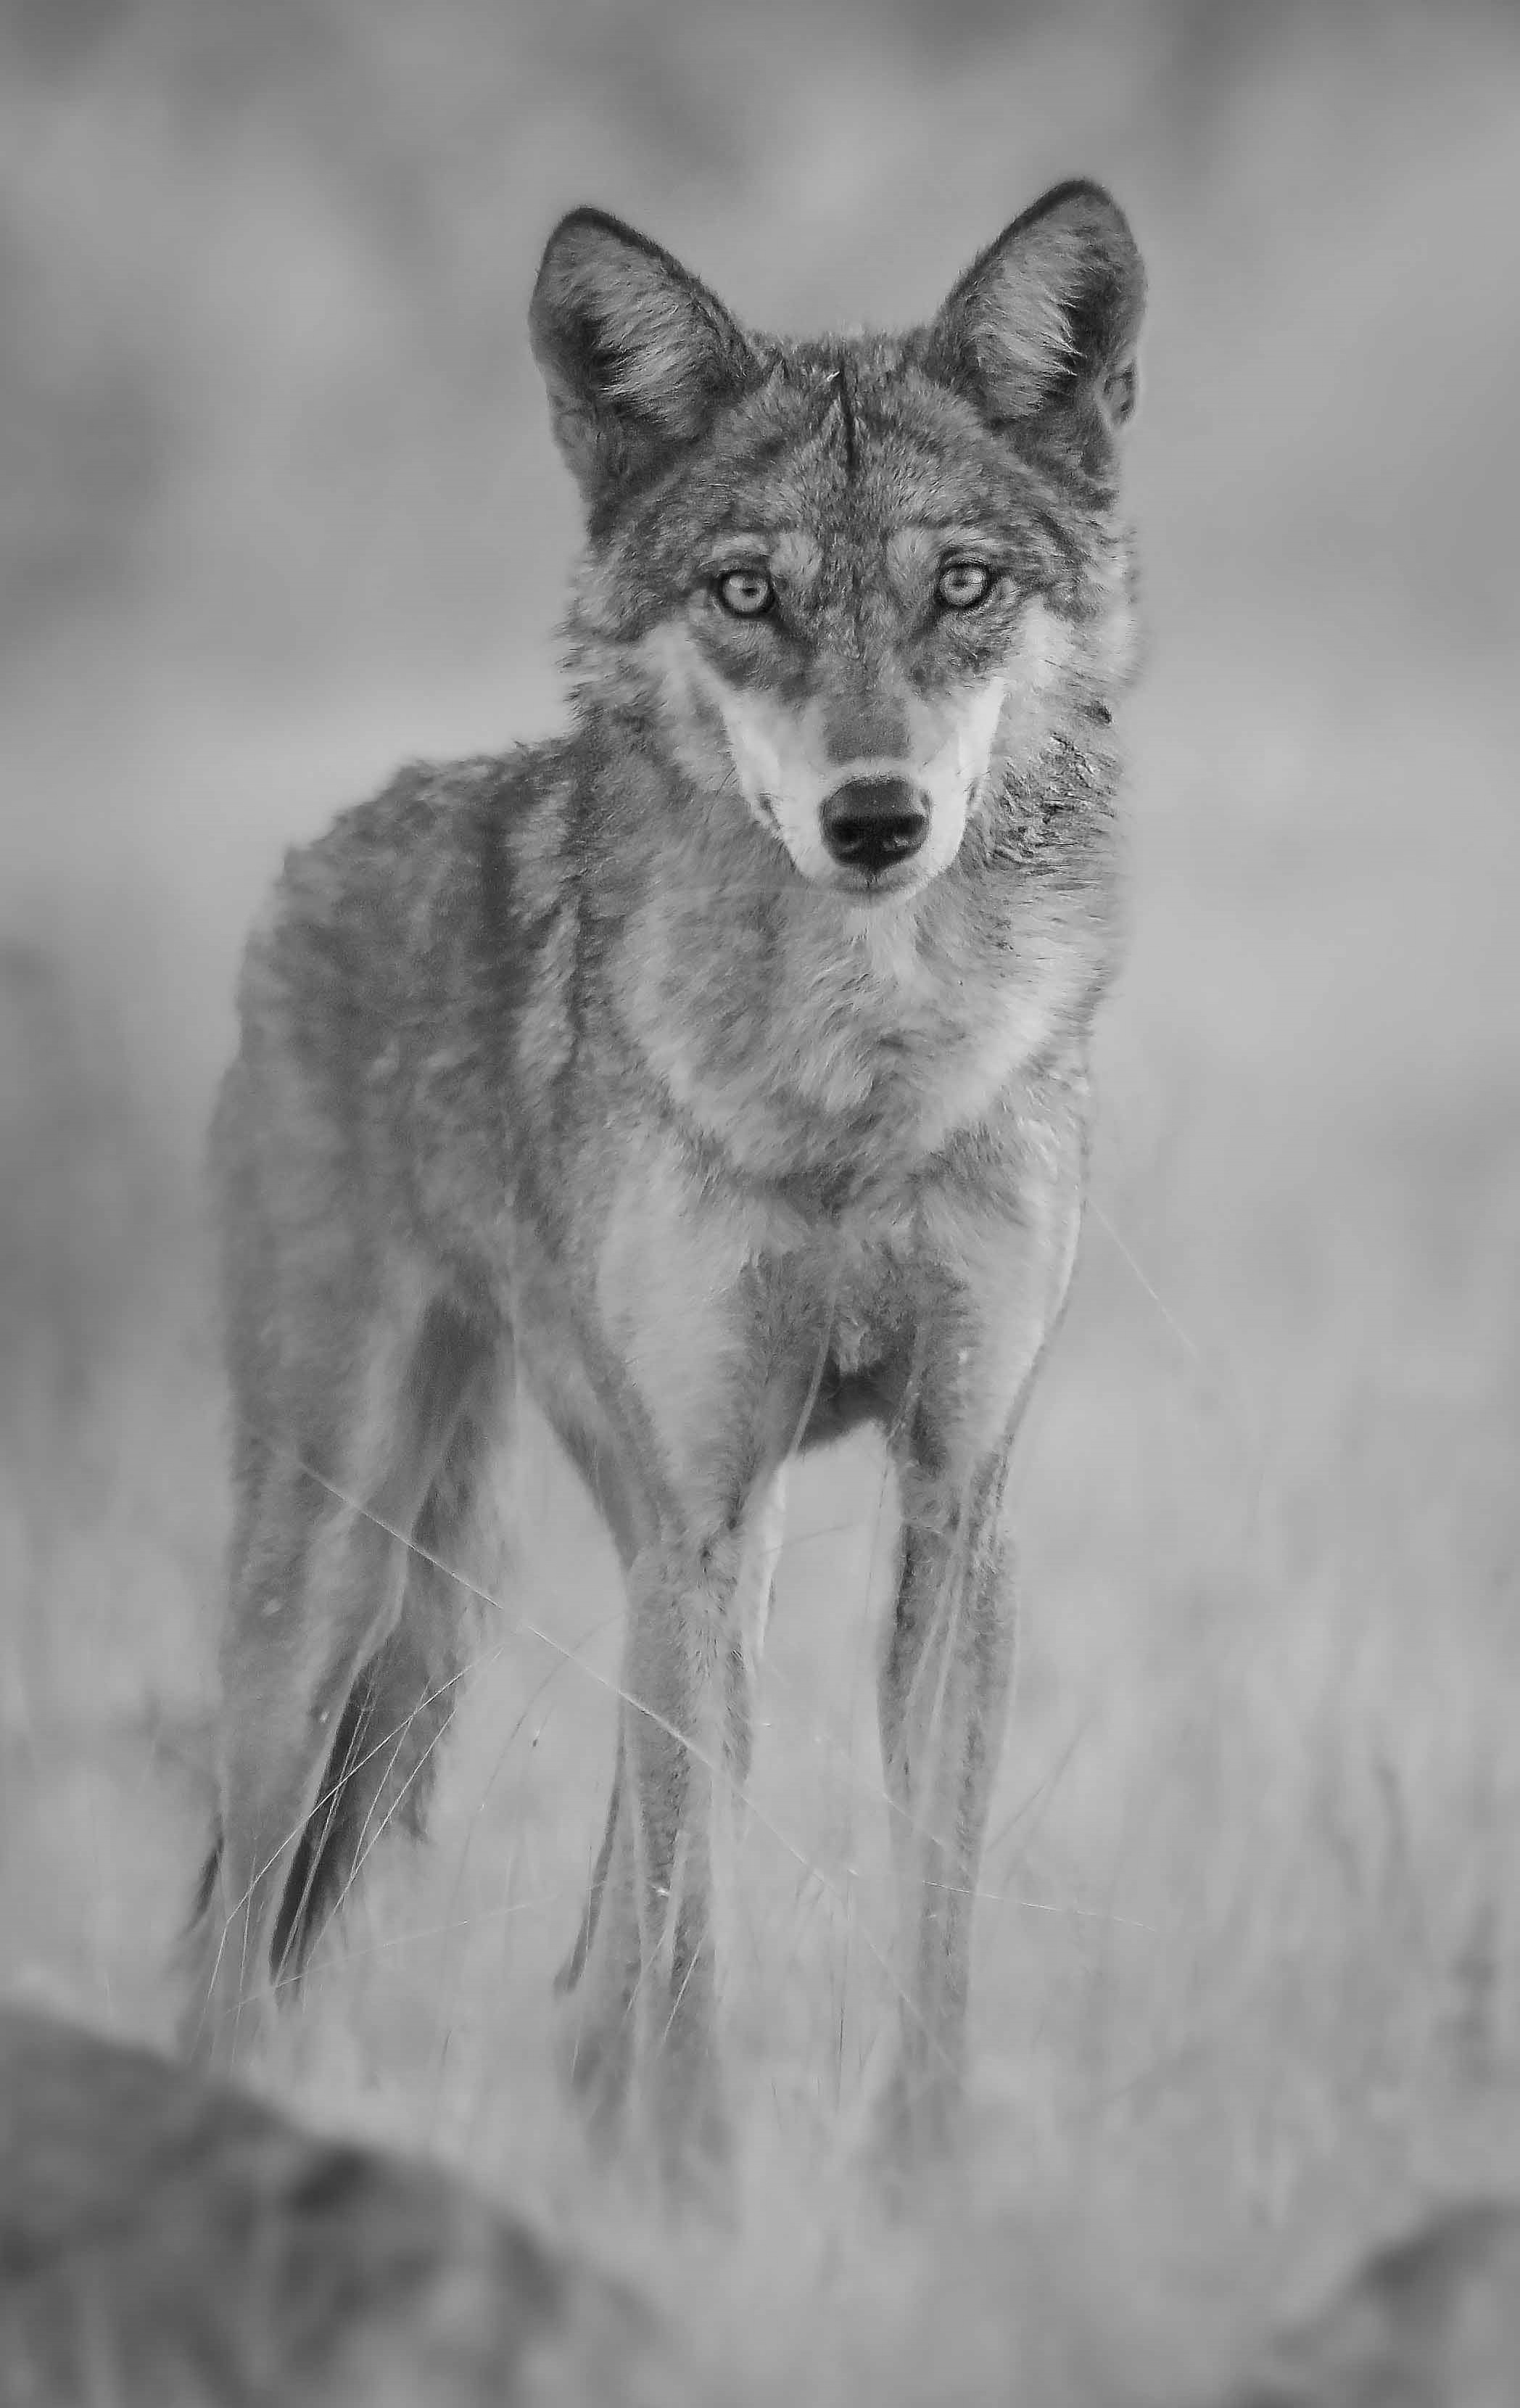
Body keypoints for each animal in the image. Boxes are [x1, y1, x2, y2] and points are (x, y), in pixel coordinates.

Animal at [180, 179, 1147, 2171]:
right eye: (745, 592)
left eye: (960, 585)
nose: (875, 818)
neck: (857, 1084)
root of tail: (323, 846)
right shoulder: (699, 1503)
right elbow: (697, 1927)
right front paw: (698, 2187)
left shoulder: (952, 1501)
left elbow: (918, 1918)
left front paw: (911, 2186)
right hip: (343, 1560)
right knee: (246, 1915)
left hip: (695, 1551)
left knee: (604, 1903)